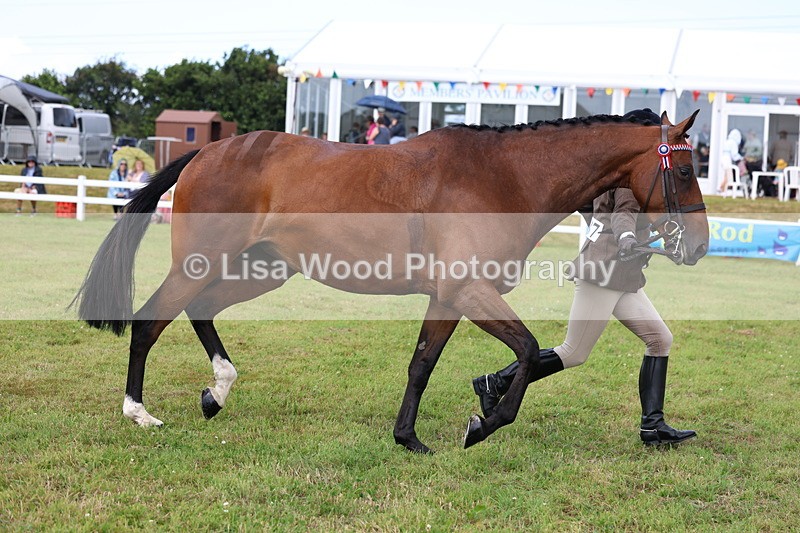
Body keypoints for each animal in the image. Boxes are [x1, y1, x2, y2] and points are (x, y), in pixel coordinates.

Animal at [74, 110, 708, 453]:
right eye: (683, 168)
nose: (701, 245)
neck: (503, 177)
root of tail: (209, 150)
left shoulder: (448, 298)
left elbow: (422, 363)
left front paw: (409, 437)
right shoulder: (469, 292)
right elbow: (528, 350)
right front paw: (482, 425)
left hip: (263, 269)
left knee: (200, 309)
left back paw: (217, 391)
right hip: (206, 262)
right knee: (150, 322)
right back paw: (139, 412)